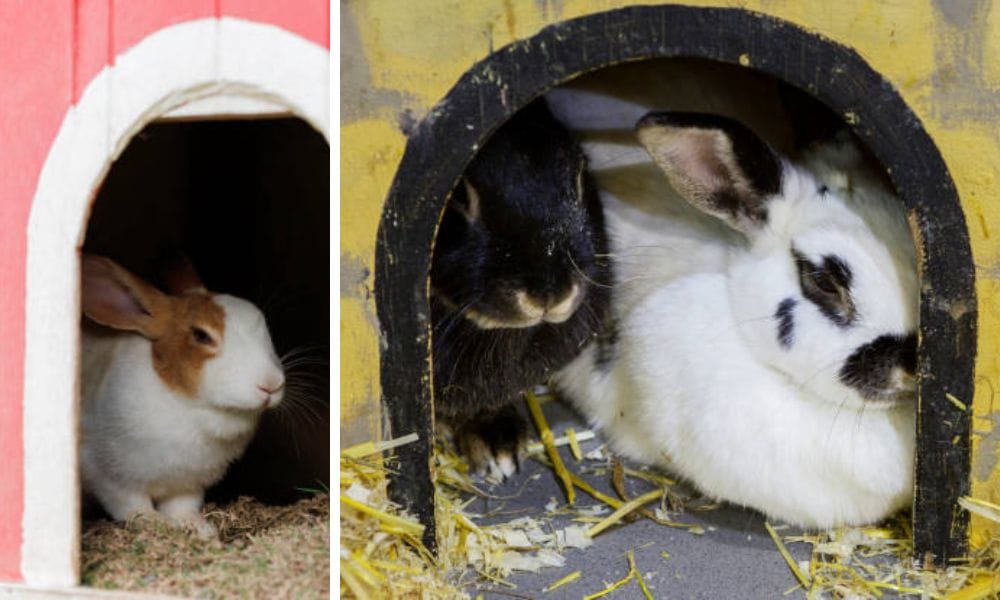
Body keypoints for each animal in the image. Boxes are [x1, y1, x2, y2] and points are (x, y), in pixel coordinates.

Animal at [79, 254, 285, 538]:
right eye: (201, 335)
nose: (272, 384)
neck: (189, 407)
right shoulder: (108, 475)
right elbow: (131, 505)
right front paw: (156, 524)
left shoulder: (187, 484)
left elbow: (182, 506)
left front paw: (199, 528)